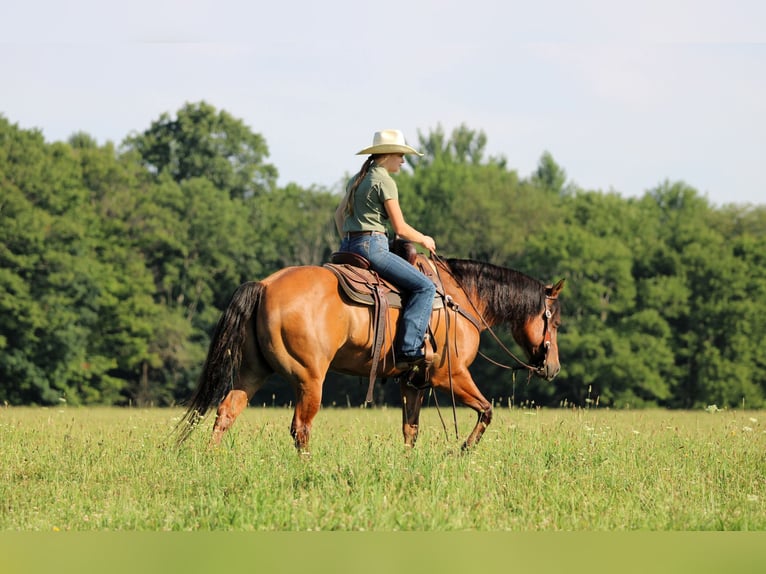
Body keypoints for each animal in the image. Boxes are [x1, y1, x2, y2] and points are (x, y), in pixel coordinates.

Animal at [176, 252, 564, 452]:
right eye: (555, 321)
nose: (554, 368)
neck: (460, 299)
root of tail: (265, 285)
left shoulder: (414, 383)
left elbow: (411, 430)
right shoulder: (450, 375)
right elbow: (487, 410)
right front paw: (464, 449)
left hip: (253, 372)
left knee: (226, 411)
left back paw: (211, 460)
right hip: (309, 379)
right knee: (301, 427)